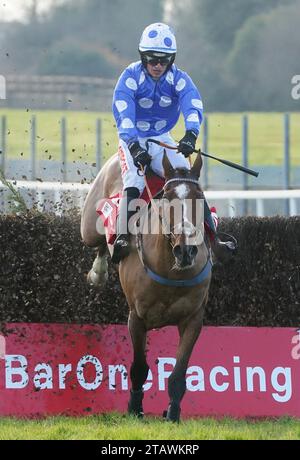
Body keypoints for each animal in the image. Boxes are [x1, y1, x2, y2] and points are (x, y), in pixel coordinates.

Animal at [79, 150, 211, 420]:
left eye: (199, 196)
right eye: (167, 198)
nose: (185, 250)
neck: (171, 271)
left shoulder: (193, 319)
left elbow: (179, 372)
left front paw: (172, 413)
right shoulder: (137, 318)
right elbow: (139, 367)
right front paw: (134, 407)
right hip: (89, 226)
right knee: (99, 242)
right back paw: (98, 271)